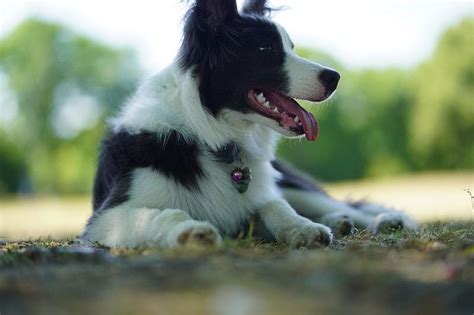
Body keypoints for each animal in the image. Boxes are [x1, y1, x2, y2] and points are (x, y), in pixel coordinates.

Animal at [81, 0, 418, 249]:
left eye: (291, 47)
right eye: (265, 49)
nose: (335, 78)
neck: (211, 136)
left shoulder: (258, 195)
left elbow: (273, 205)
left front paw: (302, 228)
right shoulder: (106, 218)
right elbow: (163, 215)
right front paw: (191, 232)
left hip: (292, 183)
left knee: (344, 206)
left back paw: (381, 220)